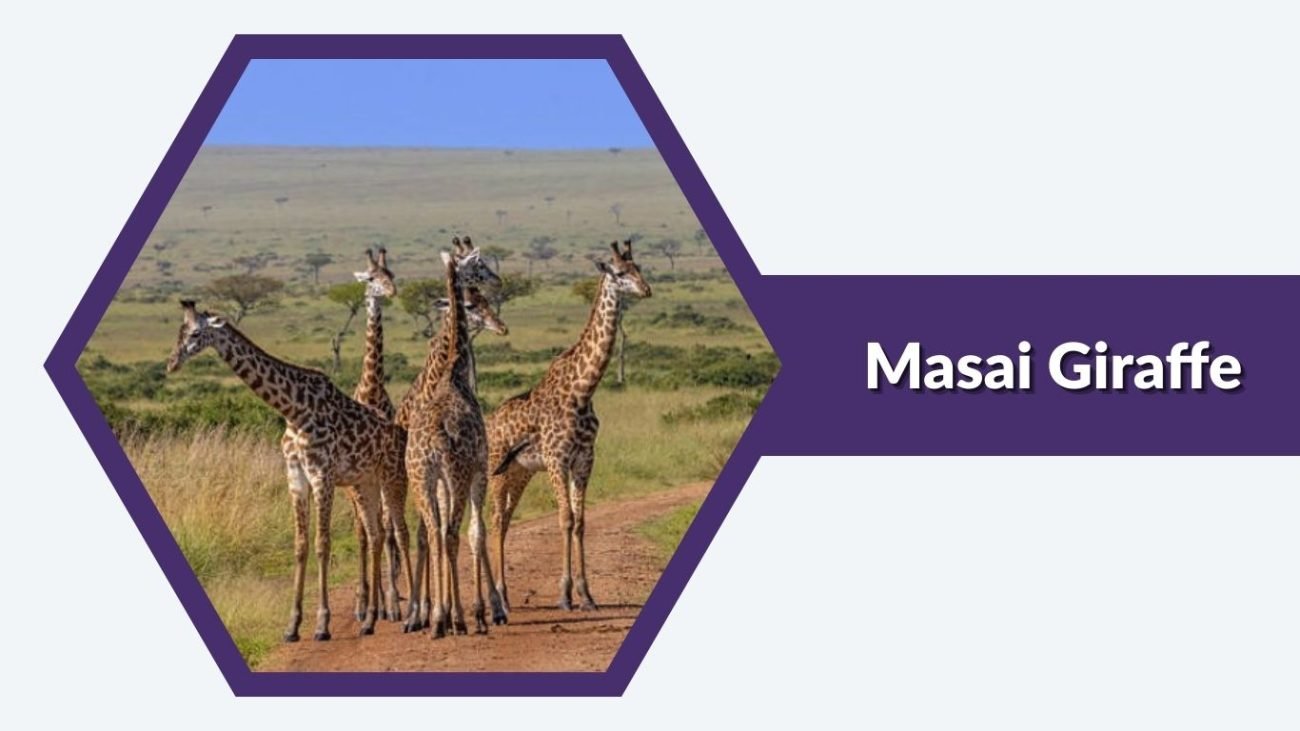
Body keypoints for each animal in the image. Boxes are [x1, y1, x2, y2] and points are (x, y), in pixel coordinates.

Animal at [166, 300, 409, 641]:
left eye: (196, 333)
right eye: (180, 330)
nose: (171, 363)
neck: (293, 409)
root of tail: (401, 431)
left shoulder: (322, 475)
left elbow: (322, 544)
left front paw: (322, 625)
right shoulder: (295, 476)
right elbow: (301, 545)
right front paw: (292, 626)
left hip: (390, 480)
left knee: (397, 532)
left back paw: (406, 611)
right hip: (364, 484)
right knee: (375, 535)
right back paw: (370, 619)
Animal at [404, 248, 507, 637]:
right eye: (477, 265)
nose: (498, 280)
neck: (454, 370)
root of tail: (433, 439)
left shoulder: (441, 482)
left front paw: (445, 611)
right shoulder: (480, 470)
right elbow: (477, 531)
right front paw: (481, 611)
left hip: (421, 477)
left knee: (433, 533)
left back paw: (436, 619)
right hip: (458, 475)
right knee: (449, 534)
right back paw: (458, 619)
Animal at [487, 240, 652, 611]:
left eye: (640, 268)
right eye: (619, 272)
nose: (646, 290)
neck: (582, 390)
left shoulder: (584, 459)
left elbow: (580, 522)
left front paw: (586, 595)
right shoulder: (556, 459)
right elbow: (564, 519)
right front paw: (564, 595)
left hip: (520, 473)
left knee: (505, 521)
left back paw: (505, 596)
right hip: (496, 472)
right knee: (493, 520)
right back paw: (496, 598)